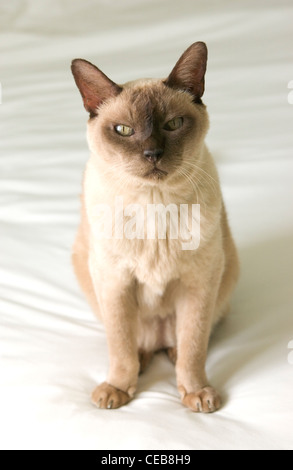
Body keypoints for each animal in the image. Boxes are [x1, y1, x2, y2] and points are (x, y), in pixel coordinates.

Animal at [71, 42, 240, 414]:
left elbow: (194, 348)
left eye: (173, 124)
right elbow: (121, 347)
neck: (154, 203)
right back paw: (138, 366)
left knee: (180, 343)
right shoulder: (116, 283)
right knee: (139, 345)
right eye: (124, 131)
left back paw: (173, 358)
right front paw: (117, 389)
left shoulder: (198, 284)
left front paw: (196, 393)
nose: (153, 153)